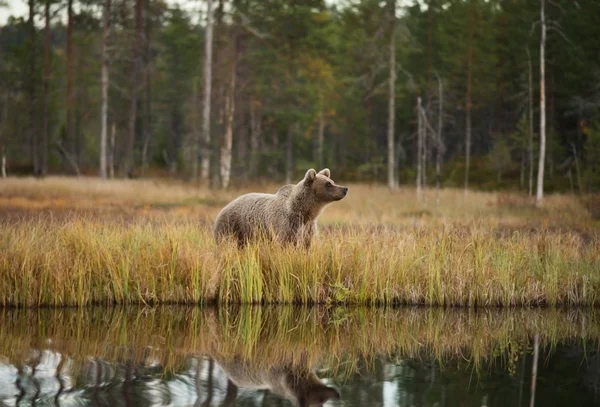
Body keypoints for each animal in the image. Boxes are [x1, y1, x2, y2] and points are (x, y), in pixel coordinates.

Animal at [214, 169, 346, 249]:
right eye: (328, 184)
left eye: (332, 181)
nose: (345, 189)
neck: (304, 211)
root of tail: (225, 206)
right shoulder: (285, 224)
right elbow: (285, 243)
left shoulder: (308, 228)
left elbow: (307, 245)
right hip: (232, 225)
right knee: (224, 243)